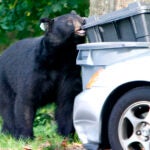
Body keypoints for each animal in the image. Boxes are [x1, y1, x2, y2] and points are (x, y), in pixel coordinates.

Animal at [0, 11, 85, 139]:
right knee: (8, 107)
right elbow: (26, 99)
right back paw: (11, 132)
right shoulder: (34, 70)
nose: (84, 20)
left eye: (79, 17)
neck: (60, 56)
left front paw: (65, 135)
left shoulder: (69, 72)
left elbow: (67, 101)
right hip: (5, 83)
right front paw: (25, 137)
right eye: (69, 22)